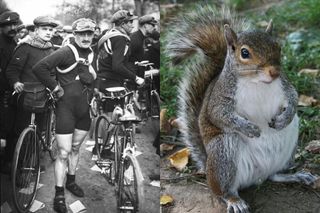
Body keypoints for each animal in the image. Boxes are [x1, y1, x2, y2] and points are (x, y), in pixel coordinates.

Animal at [166, 5, 318, 212]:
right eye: (244, 53)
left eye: (278, 47)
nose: (274, 71)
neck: (257, 82)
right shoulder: (220, 99)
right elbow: (219, 115)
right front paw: (248, 128)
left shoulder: (285, 85)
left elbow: (294, 98)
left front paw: (283, 118)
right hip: (224, 151)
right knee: (222, 191)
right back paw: (234, 200)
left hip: (290, 139)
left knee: (274, 175)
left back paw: (296, 175)